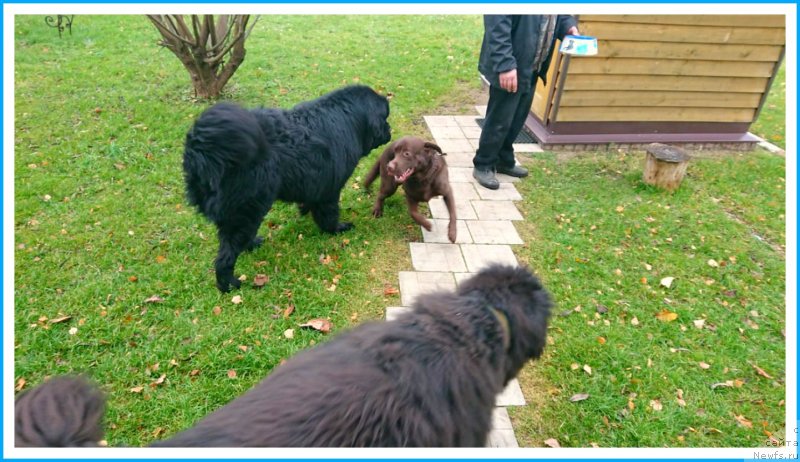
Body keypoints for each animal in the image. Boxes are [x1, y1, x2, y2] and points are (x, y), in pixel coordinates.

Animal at [182, 85, 394, 290]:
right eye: (385, 117)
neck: (348, 117)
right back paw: (229, 284)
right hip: (245, 210)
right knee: (226, 255)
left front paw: (304, 210)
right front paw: (337, 229)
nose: (390, 130)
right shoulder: (330, 190)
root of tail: (203, 153)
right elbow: (329, 214)